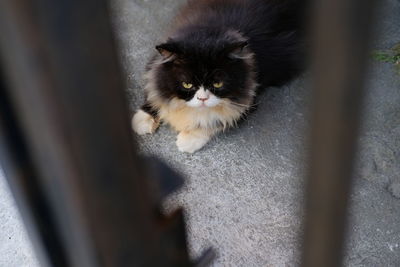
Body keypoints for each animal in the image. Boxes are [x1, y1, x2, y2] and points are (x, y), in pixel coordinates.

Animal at [131, 0, 306, 154]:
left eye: (218, 84)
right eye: (187, 84)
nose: (203, 99)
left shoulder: (249, 98)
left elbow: (214, 121)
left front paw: (188, 141)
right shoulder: (154, 68)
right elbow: (153, 95)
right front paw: (141, 121)